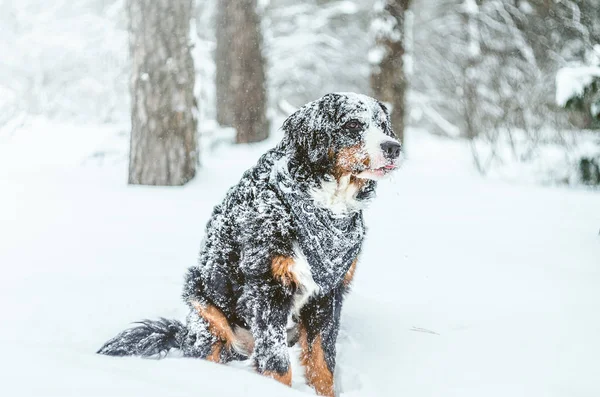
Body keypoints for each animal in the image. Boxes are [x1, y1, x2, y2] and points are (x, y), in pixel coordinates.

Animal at [99, 92, 404, 396]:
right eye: (353, 125)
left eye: (383, 125)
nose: (394, 147)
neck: (326, 204)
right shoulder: (266, 288)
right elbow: (277, 363)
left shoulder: (328, 293)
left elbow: (322, 361)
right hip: (203, 301)